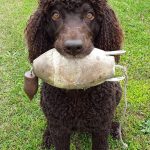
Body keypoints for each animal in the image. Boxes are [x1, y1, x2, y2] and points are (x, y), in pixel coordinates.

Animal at [24, 0, 123, 149]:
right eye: (55, 15)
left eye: (90, 15)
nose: (73, 47)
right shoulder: (59, 129)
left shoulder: (101, 127)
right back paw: (48, 136)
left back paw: (115, 128)